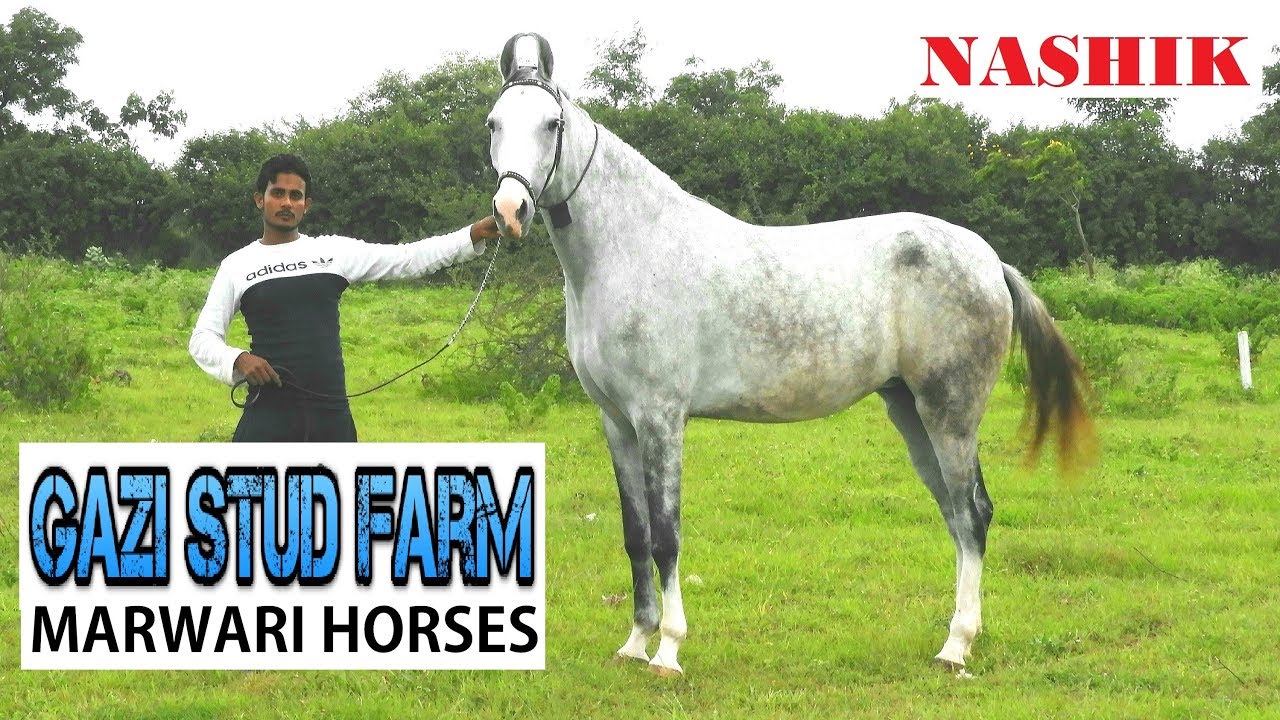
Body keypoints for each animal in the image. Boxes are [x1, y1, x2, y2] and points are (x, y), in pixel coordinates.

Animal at [486, 32, 1094, 677]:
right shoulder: (617, 421)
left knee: (973, 513)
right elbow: (635, 532)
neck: (636, 250)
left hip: (950, 413)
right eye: (494, 123)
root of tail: (989, 259)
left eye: (552, 123)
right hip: (910, 410)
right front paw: (635, 641)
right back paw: (955, 637)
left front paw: (669, 649)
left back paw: (957, 645)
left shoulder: (660, 418)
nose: (509, 211)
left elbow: (667, 534)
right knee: (956, 516)